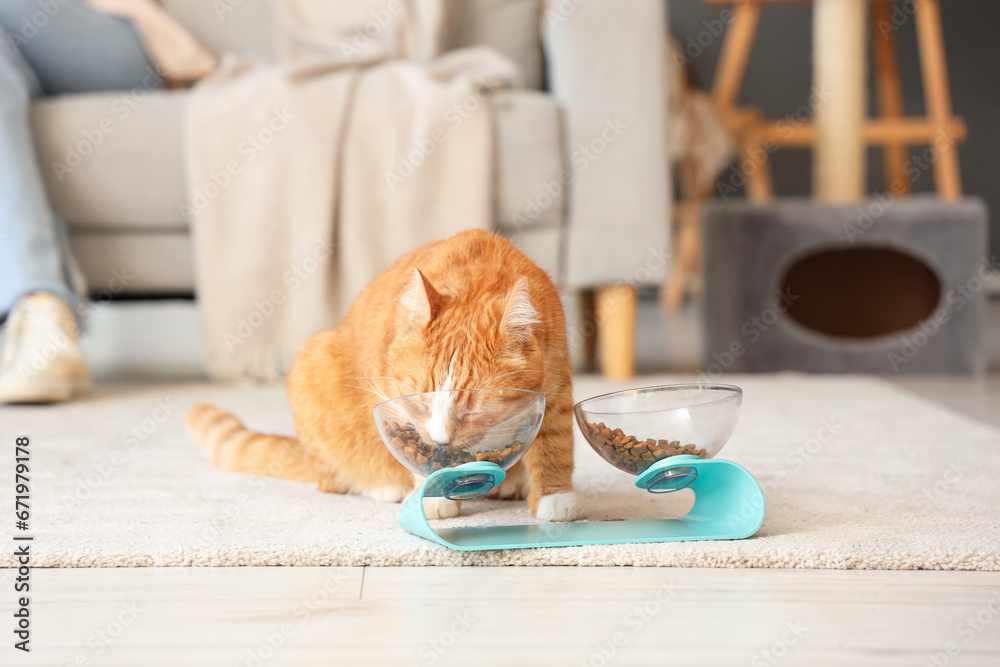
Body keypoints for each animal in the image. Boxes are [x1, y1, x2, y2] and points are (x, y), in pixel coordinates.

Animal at [188, 230, 584, 520]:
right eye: (420, 402)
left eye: (474, 409)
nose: (442, 439)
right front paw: (433, 495)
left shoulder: (556, 389)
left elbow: (556, 444)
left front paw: (554, 496)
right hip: (314, 365)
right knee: (334, 480)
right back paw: (382, 485)